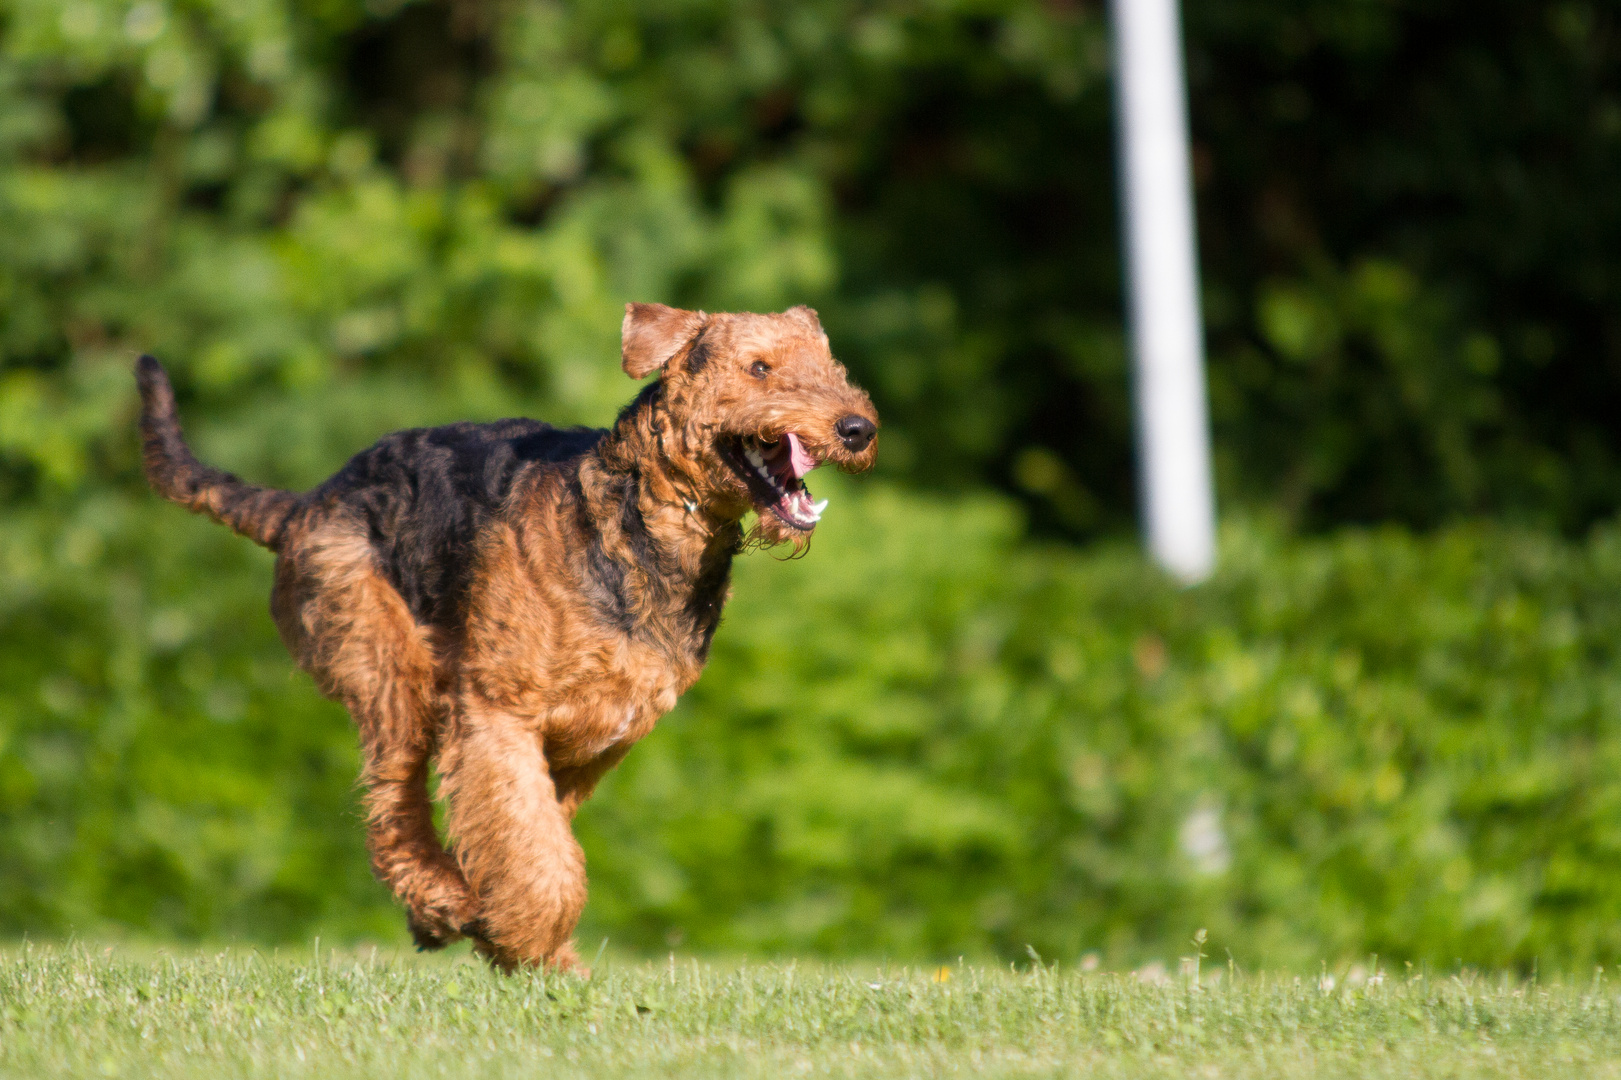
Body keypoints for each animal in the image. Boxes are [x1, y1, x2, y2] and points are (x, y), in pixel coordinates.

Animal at [136, 300, 875, 966]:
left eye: (831, 364)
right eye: (759, 367)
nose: (857, 428)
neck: (647, 519)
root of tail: (308, 504)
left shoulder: (592, 742)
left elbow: (535, 842)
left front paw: (526, 944)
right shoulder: (499, 714)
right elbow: (536, 853)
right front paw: (518, 936)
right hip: (389, 671)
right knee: (392, 808)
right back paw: (443, 905)